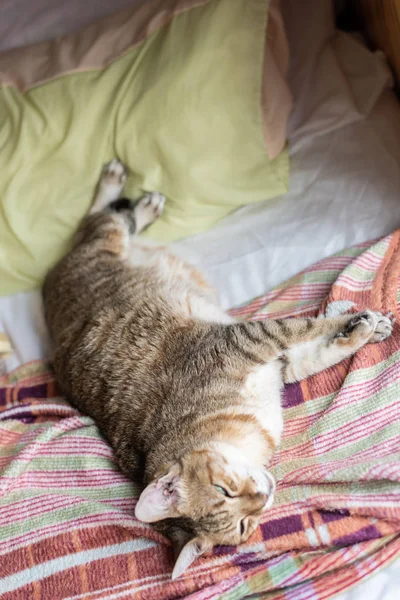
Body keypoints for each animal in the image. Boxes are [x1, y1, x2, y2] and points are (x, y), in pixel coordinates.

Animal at [43, 158, 394, 576]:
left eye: (223, 489)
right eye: (243, 523)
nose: (264, 493)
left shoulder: (254, 343)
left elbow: (310, 331)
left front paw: (366, 325)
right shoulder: (268, 353)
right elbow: (314, 343)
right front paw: (362, 328)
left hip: (104, 246)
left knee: (99, 219)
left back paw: (128, 192)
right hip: (103, 245)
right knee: (101, 221)